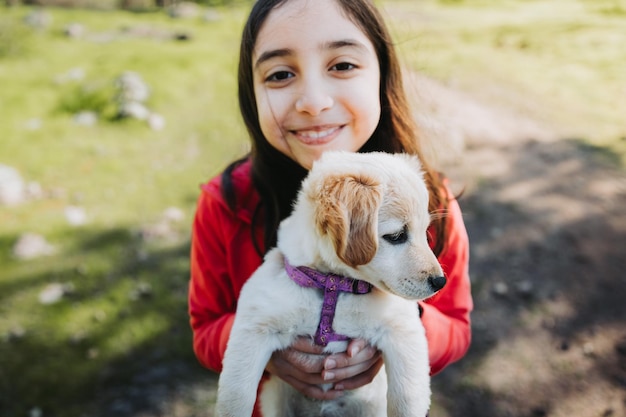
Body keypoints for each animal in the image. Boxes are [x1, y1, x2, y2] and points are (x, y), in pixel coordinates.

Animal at [214, 151, 444, 416]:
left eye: (425, 232)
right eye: (396, 236)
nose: (440, 282)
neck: (333, 286)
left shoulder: (403, 332)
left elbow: (406, 398)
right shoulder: (253, 330)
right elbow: (236, 396)